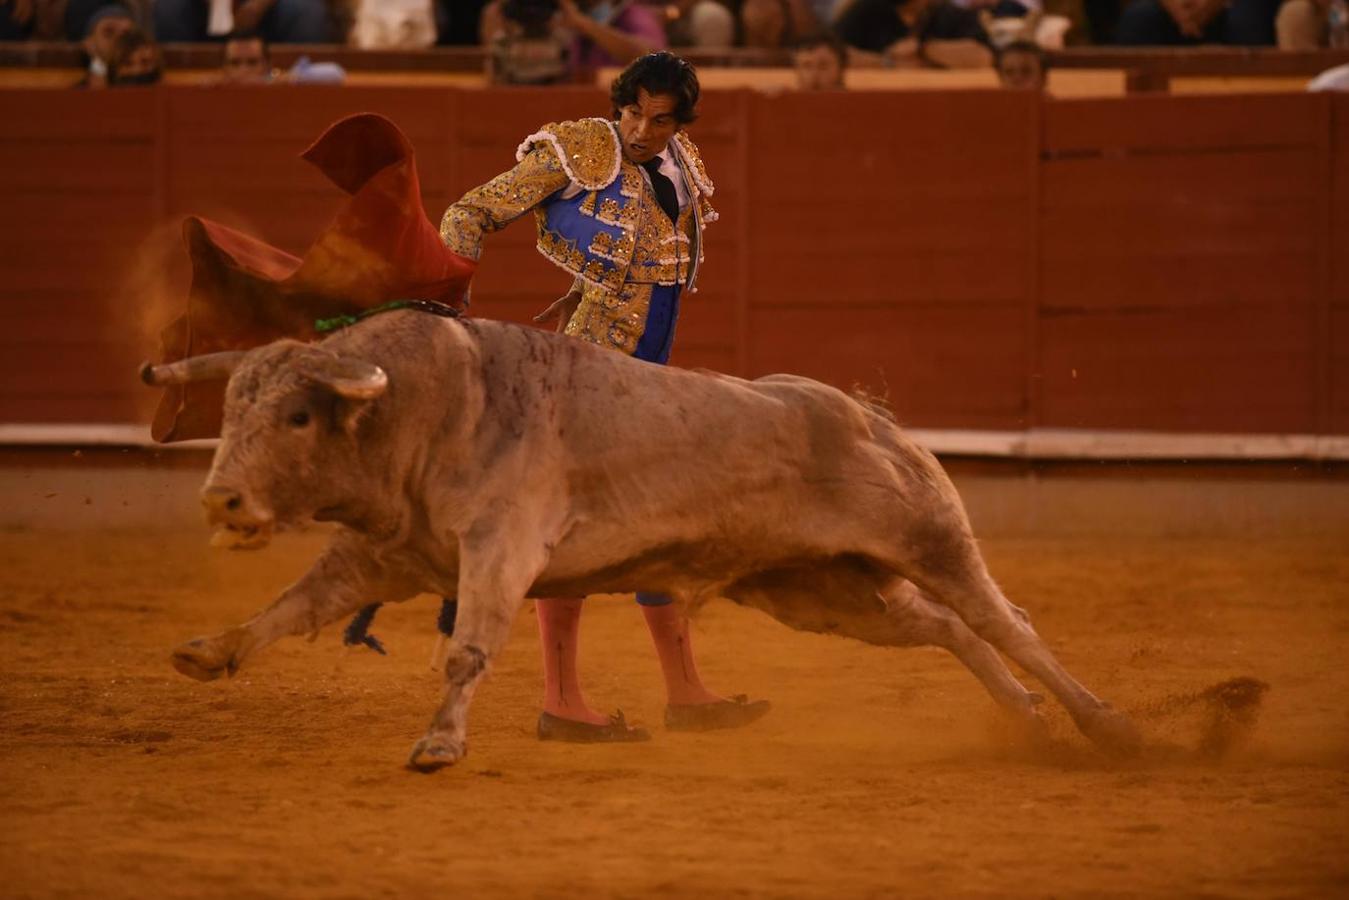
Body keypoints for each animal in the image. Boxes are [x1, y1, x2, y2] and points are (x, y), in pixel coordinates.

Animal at [145, 310, 1138, 766]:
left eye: (298, 415)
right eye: (230, 412)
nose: (223, 500)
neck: (426, 409)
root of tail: (870, 417)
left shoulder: (500, 547)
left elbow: (466, 650)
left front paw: (438, 745)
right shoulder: (386, 554)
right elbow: (293, 605)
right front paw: (207, 652)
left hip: (925, 540)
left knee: (1005, 621)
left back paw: (1106, 726)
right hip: (821, 592)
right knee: (946, 627)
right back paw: (1025, 718)